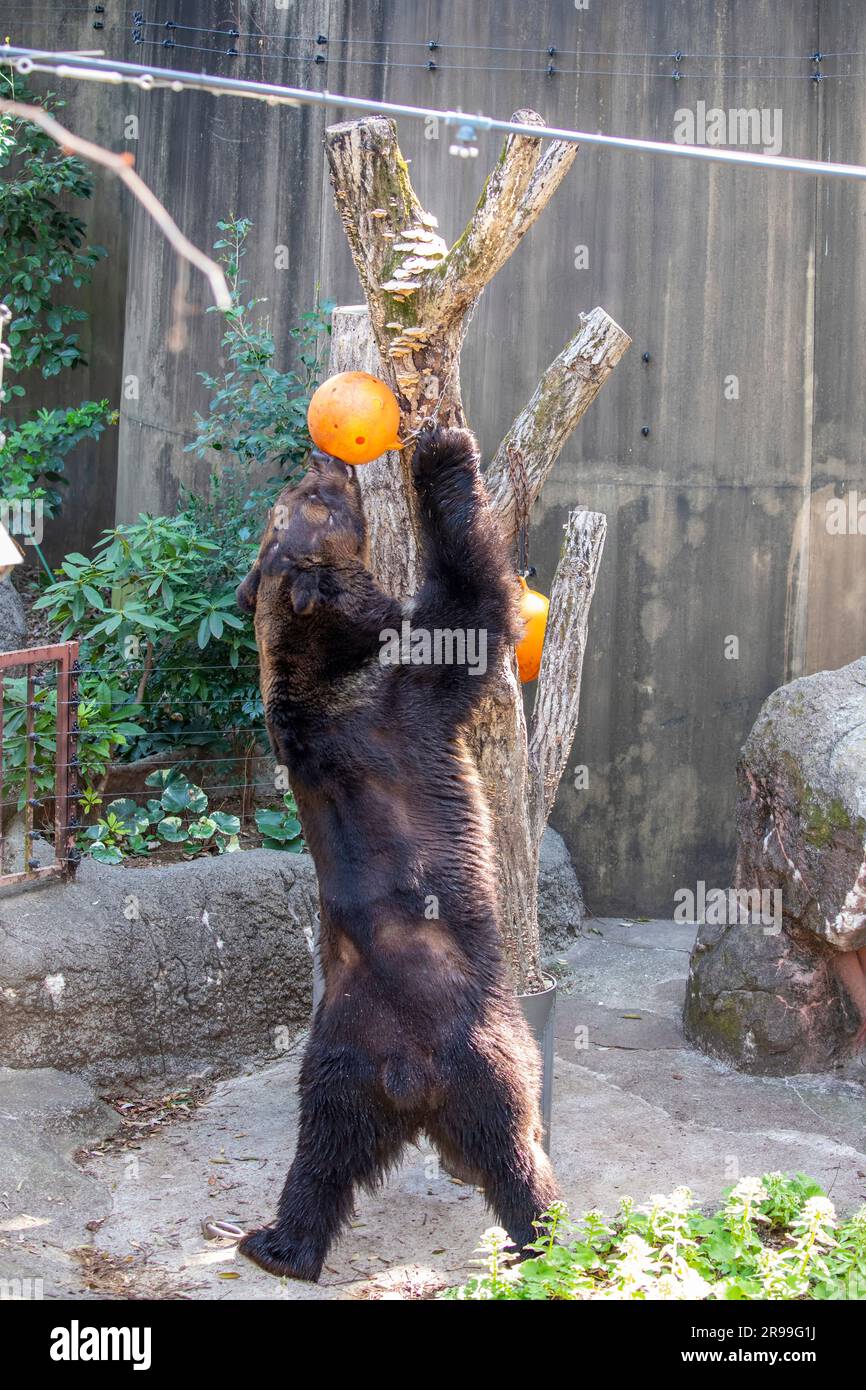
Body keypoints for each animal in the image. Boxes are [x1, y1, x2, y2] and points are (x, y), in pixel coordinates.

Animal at [233, 422, 558, 1278]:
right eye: (312, 500)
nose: (325, 459)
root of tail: (407, 1073)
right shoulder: (402, 698)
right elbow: (472, 609)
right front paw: (441, 453)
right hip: (490, 1048)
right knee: (514, 1147)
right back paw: (546, 1235)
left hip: (337, 1063)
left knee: (320, 1156)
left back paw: (276, 1243)